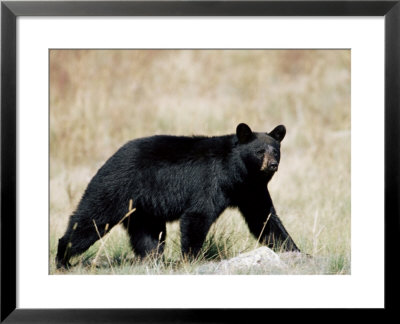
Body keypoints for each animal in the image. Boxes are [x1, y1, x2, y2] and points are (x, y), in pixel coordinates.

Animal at [56, 123, 300, 268]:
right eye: (259, 151)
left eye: (276, 151)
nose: (272, 164)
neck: (237, 173)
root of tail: (110, 157)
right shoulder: (211, 182)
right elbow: (198, 215)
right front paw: (192, 258)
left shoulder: (251, 190)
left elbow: (264, 219)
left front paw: (294, 251)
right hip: (115, 189)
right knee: (91, 220)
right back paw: (62, 259)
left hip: (144, 209)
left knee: (149, 236)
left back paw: (152, 261)